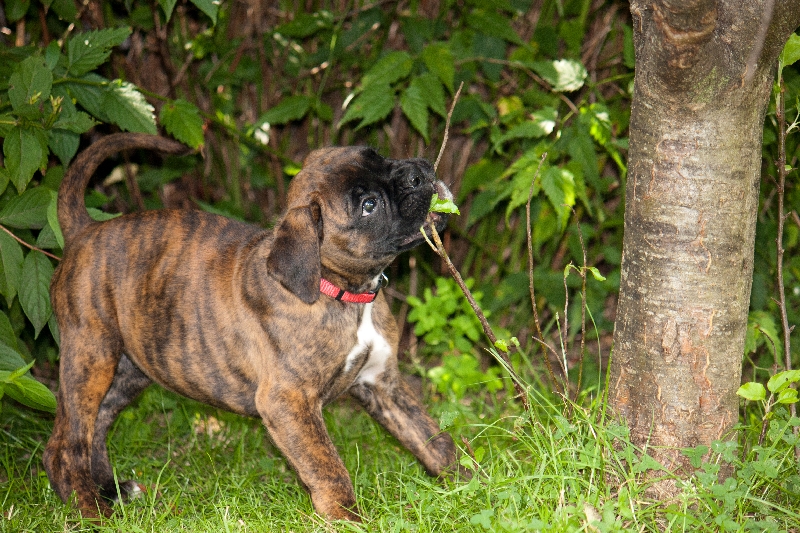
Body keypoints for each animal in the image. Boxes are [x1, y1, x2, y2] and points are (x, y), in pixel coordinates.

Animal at [42, 133, 456, 520]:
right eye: (369, 205)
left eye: (378, 155)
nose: (419, 173)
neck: (339, 290)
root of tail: (85, 230)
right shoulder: (287, 402)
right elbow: (327, 467)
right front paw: (347, 517)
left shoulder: (383, 385)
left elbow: (435, 440)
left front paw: (466, 487)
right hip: (91, 358)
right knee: (66, 446)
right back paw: (91, 511)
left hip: (130, 369)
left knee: (97, 424)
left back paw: (110, 490)